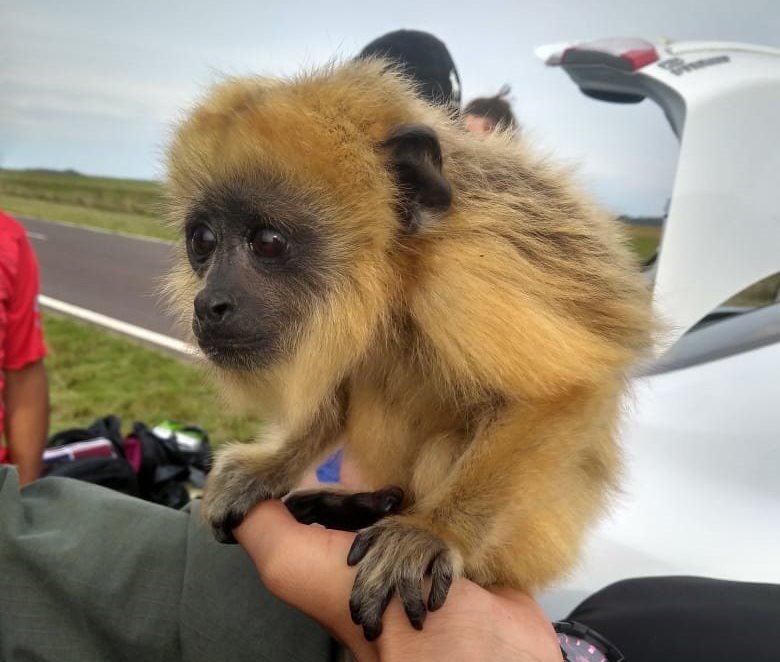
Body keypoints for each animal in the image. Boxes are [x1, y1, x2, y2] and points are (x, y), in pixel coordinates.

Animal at [163, 59, 654, 641]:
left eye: (267, 242)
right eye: (203, 241)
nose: (209, 303)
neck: (397, 270)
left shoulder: (473, 263)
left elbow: (566, 391)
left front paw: (434, 532)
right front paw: (271, 466)